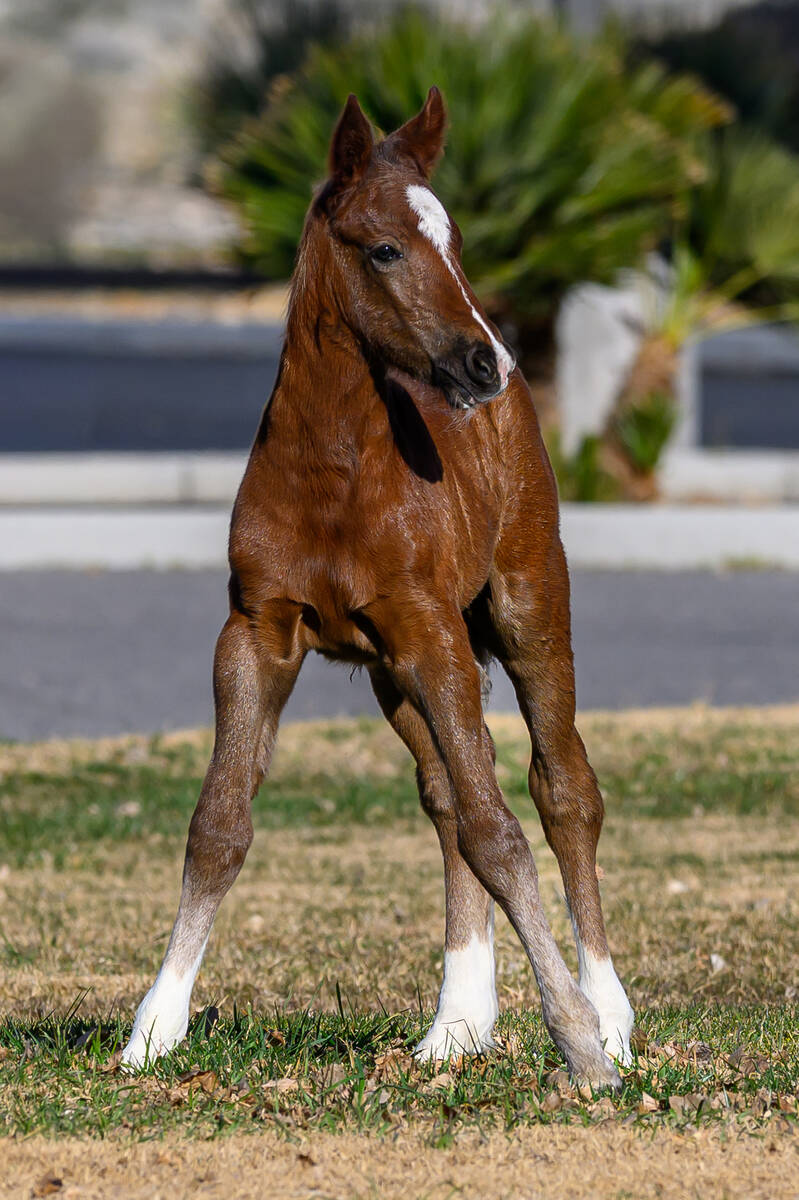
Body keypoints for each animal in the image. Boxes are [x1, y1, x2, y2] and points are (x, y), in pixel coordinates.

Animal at [122, 87, 633, 1087]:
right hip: (396, 673)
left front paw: (580, 1039)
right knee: (444, 801)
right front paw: (153, 1029)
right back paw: (457, 1025)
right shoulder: (258, 632)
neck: (334, 474)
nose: (484, 363)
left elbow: (502, 830)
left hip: (524, 613)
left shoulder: (433, 635)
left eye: (459, 240)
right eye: (385, 248)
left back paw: (613, 1013)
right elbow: (220, 824)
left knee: (563, 792)